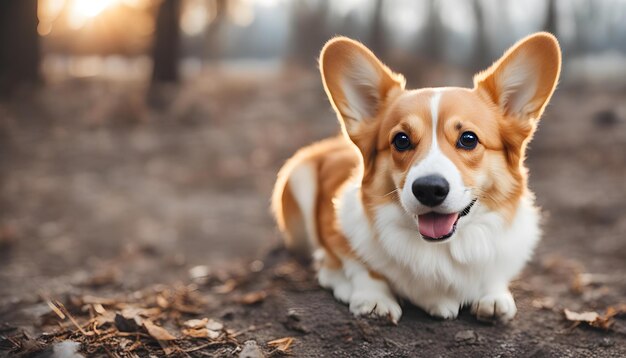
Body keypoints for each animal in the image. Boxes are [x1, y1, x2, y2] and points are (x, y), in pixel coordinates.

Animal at [272, 33, 560, 324]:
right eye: (401, 140)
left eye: (468, 139)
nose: (429, 189)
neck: (441, 250)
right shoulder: (340, 233)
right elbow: (359, 265)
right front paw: (373, 299)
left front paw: (494, 296)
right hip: (298, 179)